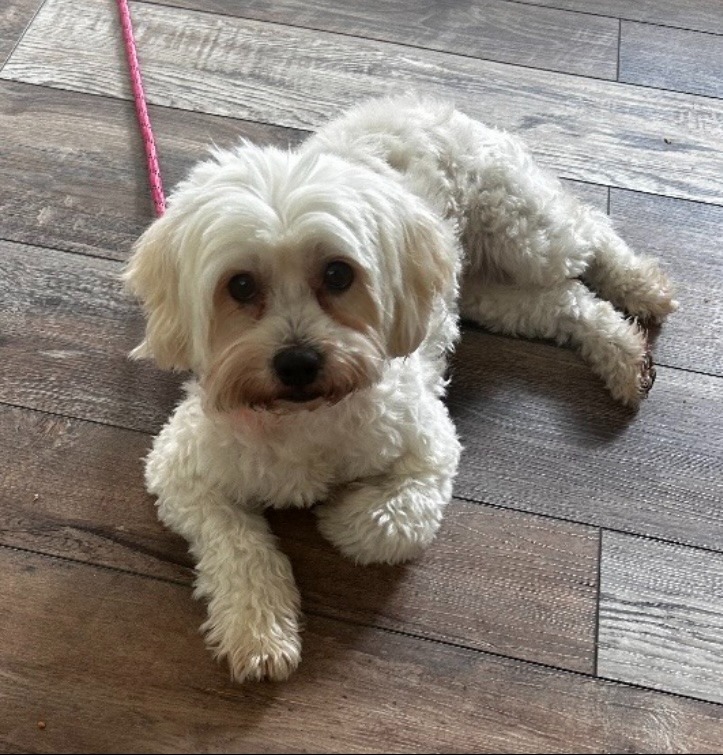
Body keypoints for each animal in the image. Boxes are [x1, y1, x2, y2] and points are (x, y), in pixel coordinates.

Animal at [124, 95, 676, 682]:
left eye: (338, 274)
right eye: (241, 285)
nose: (297, 362)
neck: (305, 420)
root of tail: (415, 100)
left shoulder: (428, 444)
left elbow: (391, 525)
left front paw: (338, 518)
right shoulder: (182, 470)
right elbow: (236, 544)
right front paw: (258, 628)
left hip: (524, 230)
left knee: (589, 232)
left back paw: (641, 284)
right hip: (483, 290)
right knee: (564, 302)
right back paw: (623, 353)